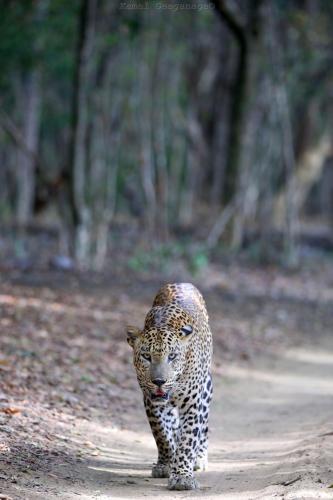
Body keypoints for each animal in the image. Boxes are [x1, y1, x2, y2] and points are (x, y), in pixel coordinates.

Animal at [126, 284, 211, 490]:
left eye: (172, 356)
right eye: (146, 356)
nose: (159, 381)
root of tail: (182, 282)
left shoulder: (193, 404)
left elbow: (188, 440)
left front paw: (182, 477)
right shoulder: (151, 402)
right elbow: (162, 434)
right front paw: (166, 464)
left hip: (206, 389)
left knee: (203, 426)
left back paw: (200, 458)